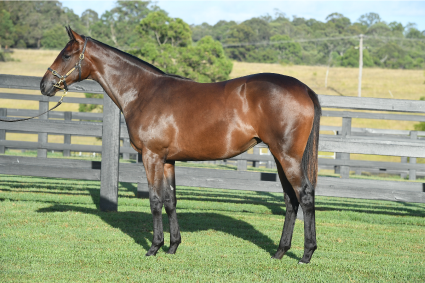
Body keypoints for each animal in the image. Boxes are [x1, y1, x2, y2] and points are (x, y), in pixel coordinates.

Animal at [39, 27, 320, 266]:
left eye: (66, 55)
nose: (44, 85)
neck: (143, 92)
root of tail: (304, 89)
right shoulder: (167, 161)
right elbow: (170, 200)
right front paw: (173, 246)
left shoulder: (151, 156)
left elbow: (154, 200)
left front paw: (154, 247)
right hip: (279, 157)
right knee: (290, 200)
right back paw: (280, 252)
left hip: (287, 157)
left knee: (304, 196)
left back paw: (306, 254)